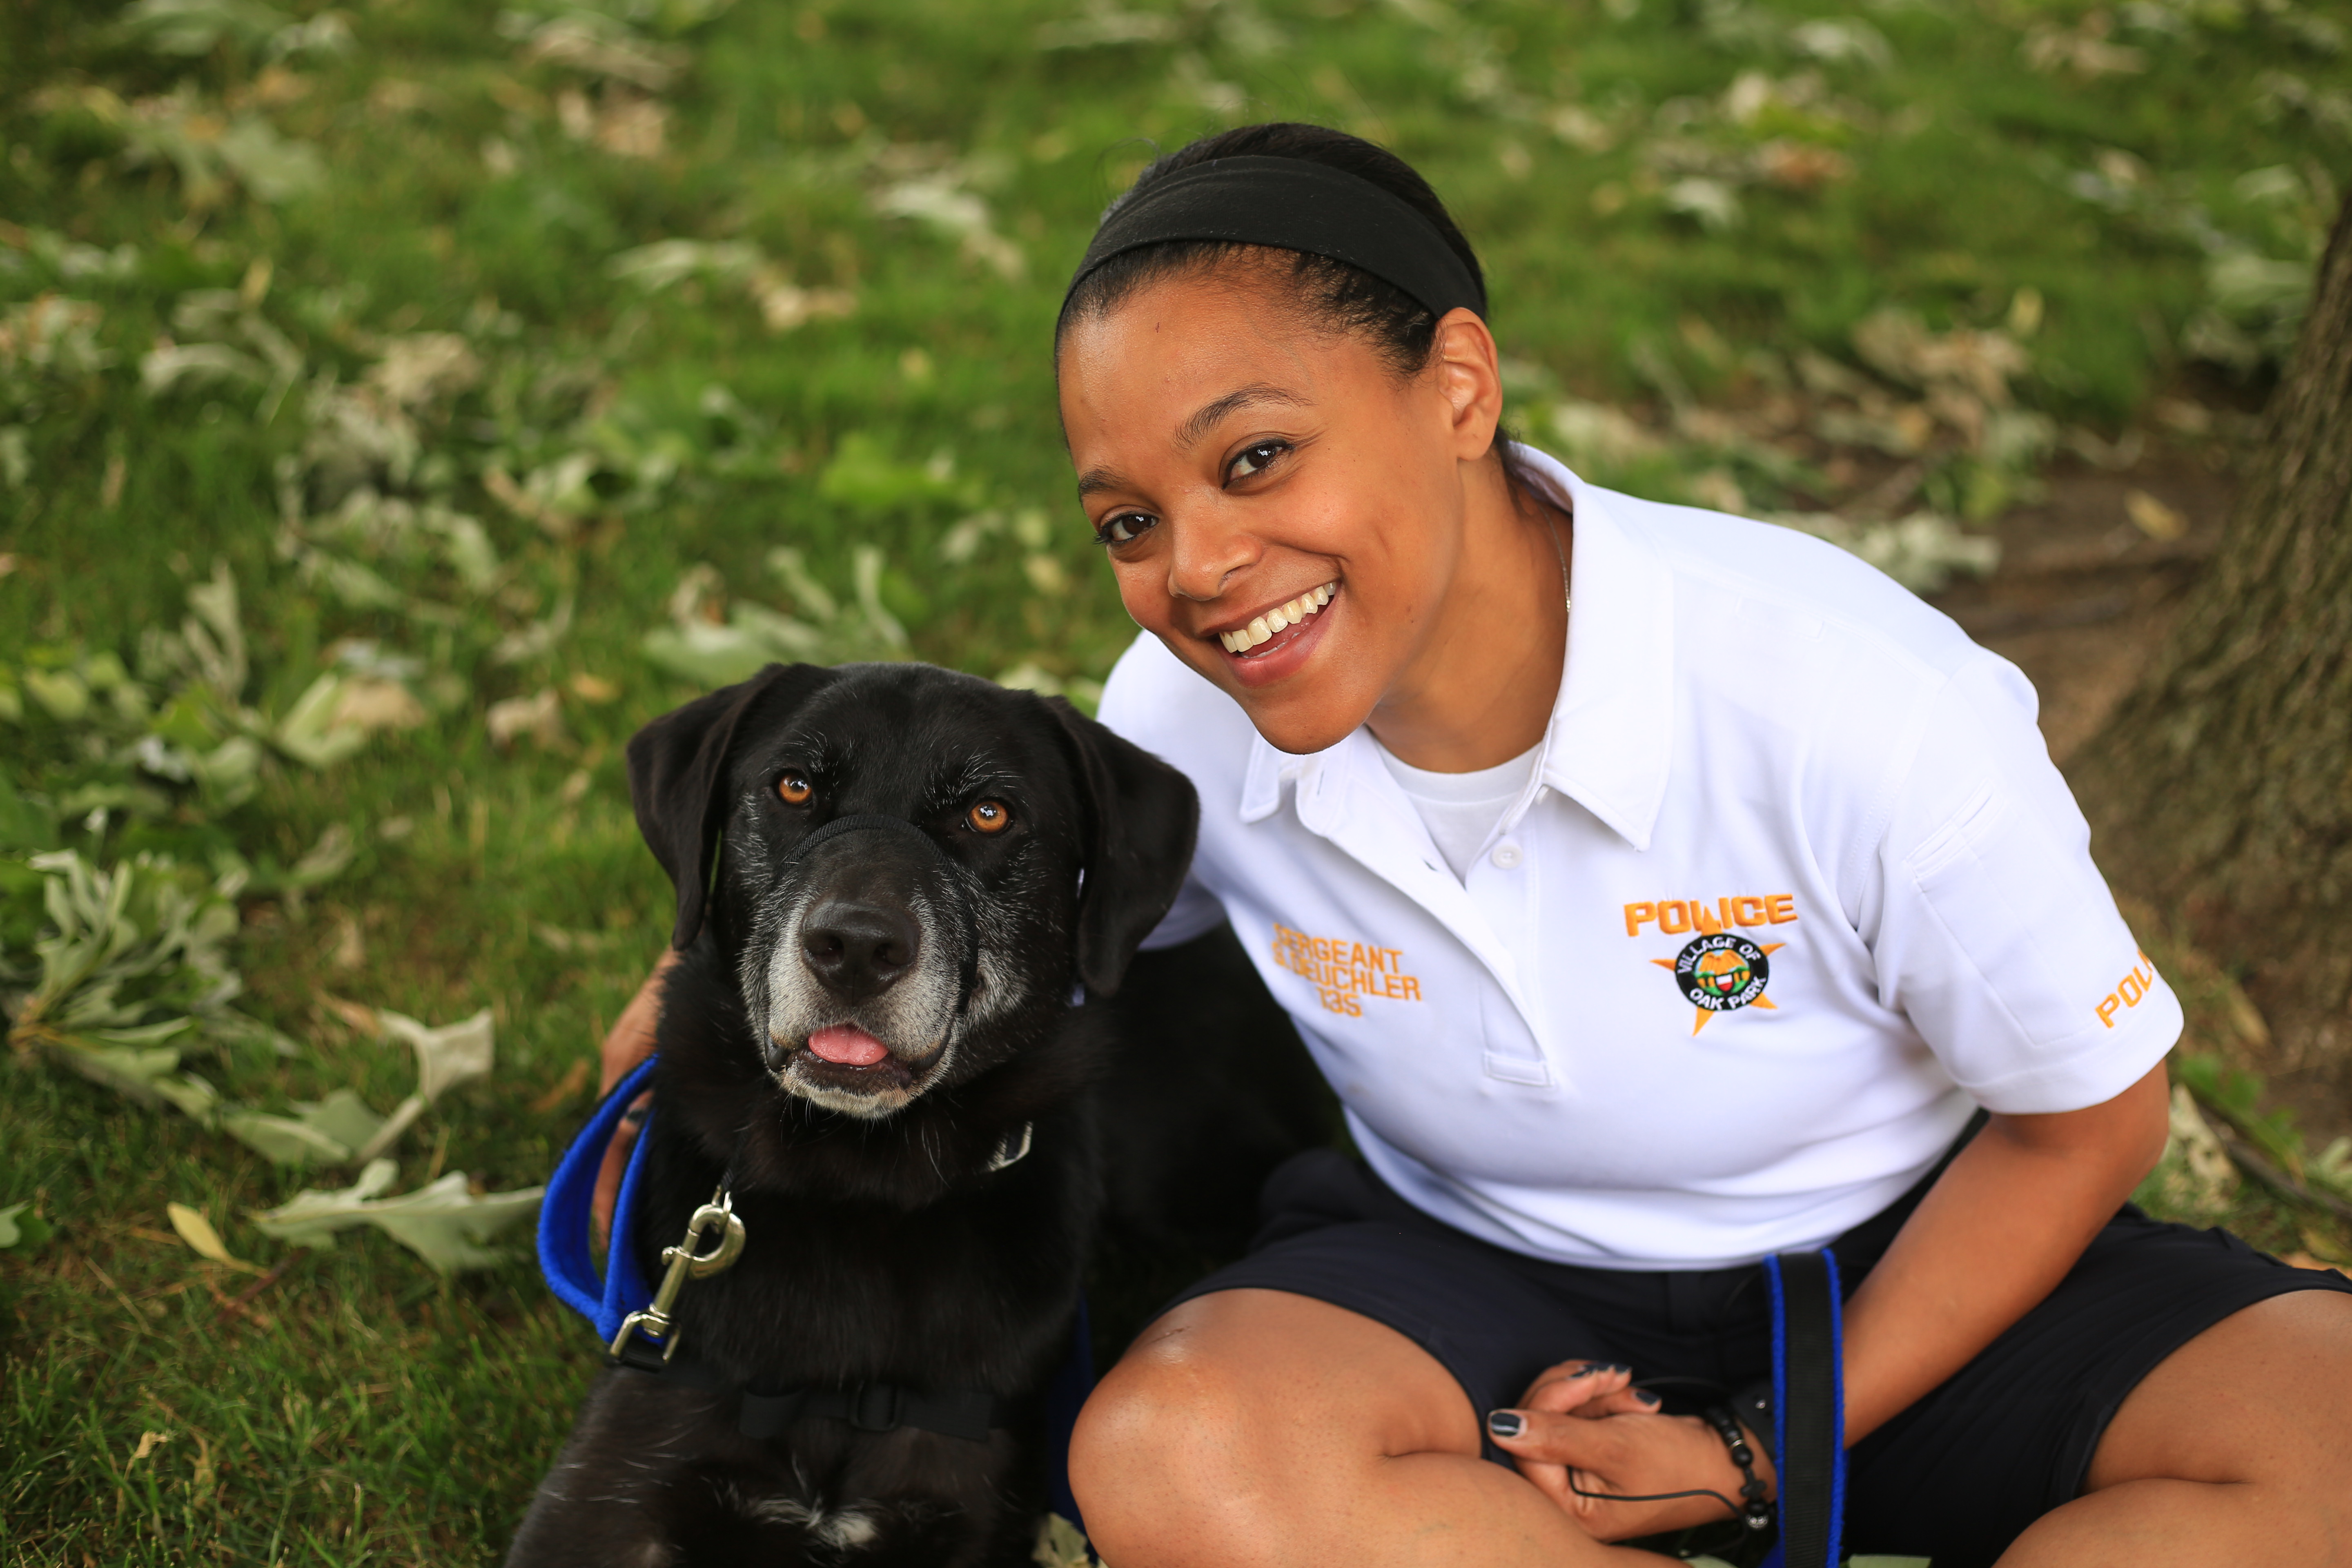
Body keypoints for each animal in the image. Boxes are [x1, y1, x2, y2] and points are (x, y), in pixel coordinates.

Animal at [503, 663, 1326, 1568]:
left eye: (989, 813)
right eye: (793, 787)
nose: (856, 949)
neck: (856, 1187)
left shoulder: (963, 1512)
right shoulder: (608, 1496)